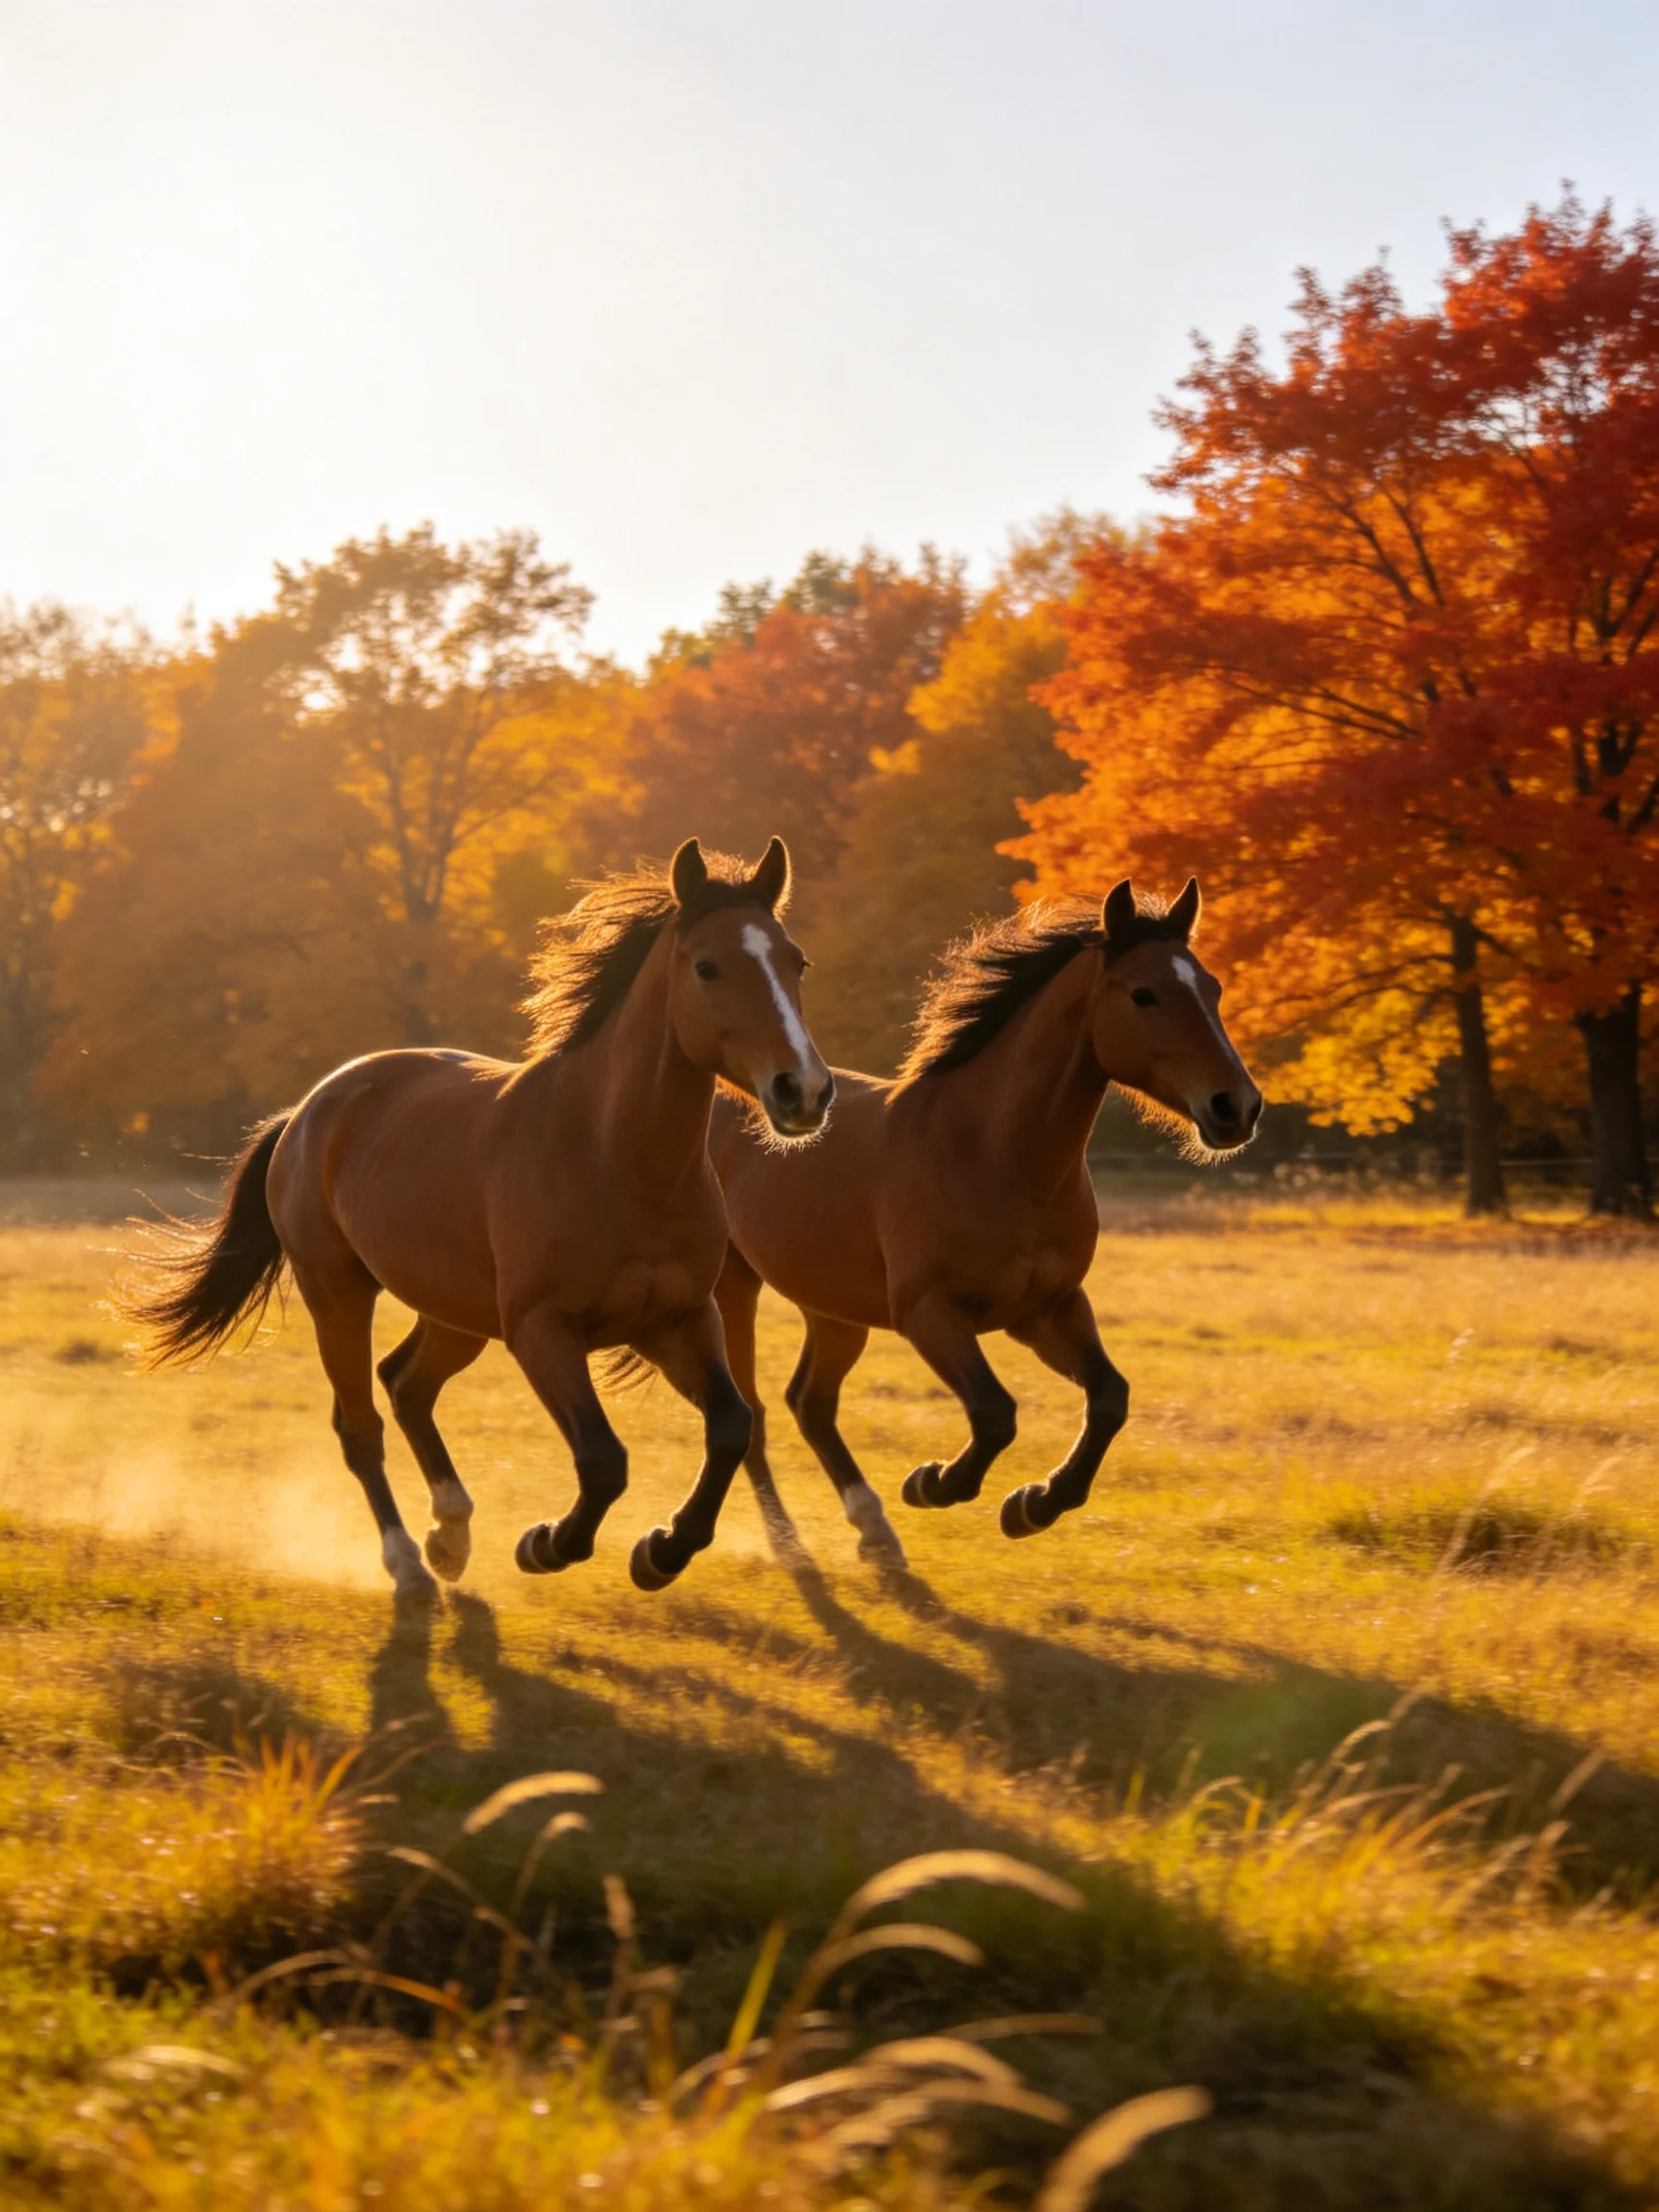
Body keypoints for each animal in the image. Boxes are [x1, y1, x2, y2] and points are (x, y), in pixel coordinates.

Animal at [124, 838, 833, 1602]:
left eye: (796, 961)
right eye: (707, 966)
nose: (803, 1090)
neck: (615, 1157)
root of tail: (311, 1108)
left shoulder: (678, 1319)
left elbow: (731, 1427)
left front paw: (661, 1551)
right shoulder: (541, 1330)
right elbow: (603, 1459)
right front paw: (546, 1544)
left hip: (456, 1314)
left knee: (406, 1384)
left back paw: (451, 1534)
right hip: (337, 1293)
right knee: (361, 1425)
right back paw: (408, 1562)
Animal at [709, 877, 1262, 1567]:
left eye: (1212, 989)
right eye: (1144, 993)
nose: (1237, 1107)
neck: (992, 1155)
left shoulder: (1048, 1308)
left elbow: (1110, 1398)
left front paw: (1035, 1505)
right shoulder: (929, 1313)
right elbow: (997, 1412)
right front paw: (934, 1484)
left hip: (832, 1308)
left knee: (808, 1403)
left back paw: (873, 1528)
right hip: (732, 1288)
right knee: (753, 1412)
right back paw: (785, 1542)